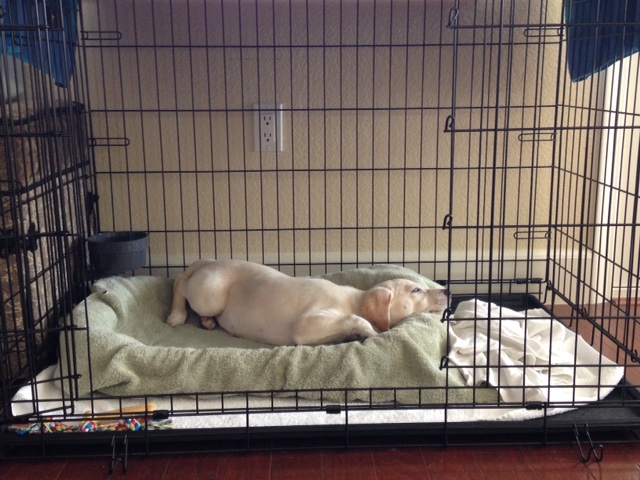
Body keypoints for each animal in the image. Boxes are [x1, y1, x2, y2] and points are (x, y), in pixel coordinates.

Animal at [166, 258, 450, 344]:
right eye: (416, 290)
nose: (447, 291)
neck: (356, 300)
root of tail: (209, 260)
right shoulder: (305, 325)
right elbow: (355, 319)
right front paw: (371, 331)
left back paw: (207, 322)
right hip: (209, 294)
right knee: (179, 280)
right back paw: (176, 315)